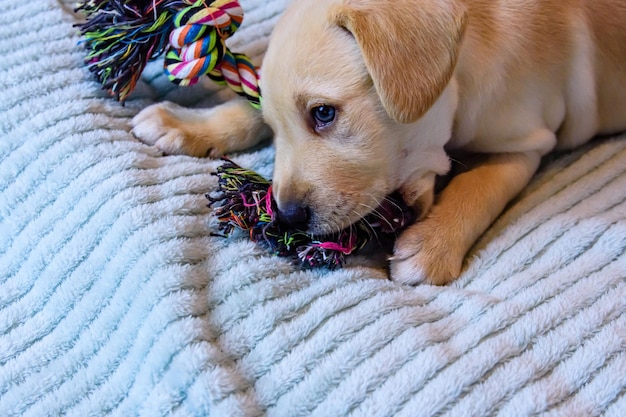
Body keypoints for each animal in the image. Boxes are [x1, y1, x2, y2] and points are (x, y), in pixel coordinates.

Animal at [132, 0, 624, 284]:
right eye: (274, 124)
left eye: (324, 113)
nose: (287, 217)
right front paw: (189, 123)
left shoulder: (526, 142)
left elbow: (477, 186)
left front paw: (431, 246)